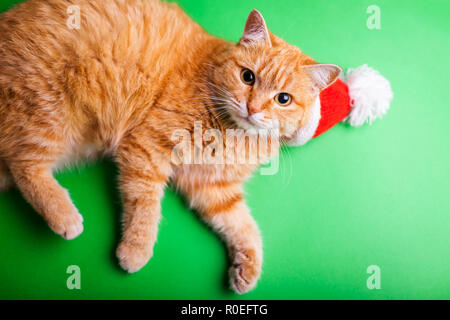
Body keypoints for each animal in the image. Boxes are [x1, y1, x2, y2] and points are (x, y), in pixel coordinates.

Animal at [0, 0, 338, 294]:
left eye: (283, 99)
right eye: (247, 76)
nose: (252, 108)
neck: (233, 133)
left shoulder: (212, 187)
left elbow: (242, 224)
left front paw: (248, 267)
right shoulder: (147, 148)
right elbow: (145, 206)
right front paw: (136, 250)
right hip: (52, 112)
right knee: (24, 164)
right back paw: (64, 216)